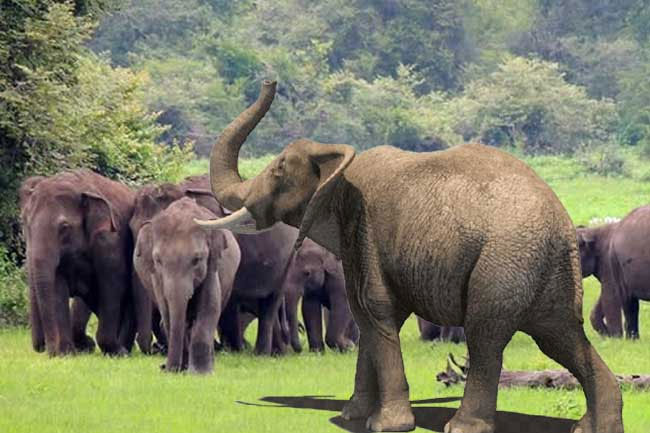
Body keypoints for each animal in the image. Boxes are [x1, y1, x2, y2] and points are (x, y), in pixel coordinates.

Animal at [19, 169, 136, 356]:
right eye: (26, 224)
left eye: (64, 227)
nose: (49, 352)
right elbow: (57, 286)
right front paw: (66, 354)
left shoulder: (110, 240)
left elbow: (112, 284)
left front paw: (117, 352)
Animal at [134, 197, 240, 373]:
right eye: (158, 260)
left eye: (197, 260)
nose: (166, 368)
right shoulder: (156, 277)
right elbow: (167, 313)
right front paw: (180, 371)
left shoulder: (211, 267)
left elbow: (209, 308)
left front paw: (201, 373)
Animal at [194, 80, 623, 433]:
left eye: (279, 170)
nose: (271, 79)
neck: (339, 160)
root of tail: (563, 226)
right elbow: (372, 320)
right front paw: (353, 417)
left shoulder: (364, 230)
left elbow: (375, 310)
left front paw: (385, 425)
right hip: (546, 273)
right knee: (560, 337)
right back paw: (596, 426)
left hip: (506, 262)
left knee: (487, 336)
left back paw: (463, 428)